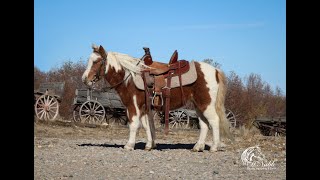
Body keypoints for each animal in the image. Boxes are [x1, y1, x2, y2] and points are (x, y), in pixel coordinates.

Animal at [82, 44, 232, 152]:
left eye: (96, 61)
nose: (84, 79)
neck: (130, 76)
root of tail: (215, 71)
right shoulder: (144, 108)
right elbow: (147, 126)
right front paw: (149, 145)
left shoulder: (133, 106)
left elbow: (134, 125)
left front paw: (129, 145)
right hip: (198, 105)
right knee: (204, 124)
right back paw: (198, 147)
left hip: (206, 104)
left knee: (214, 121)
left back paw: (214, 147)